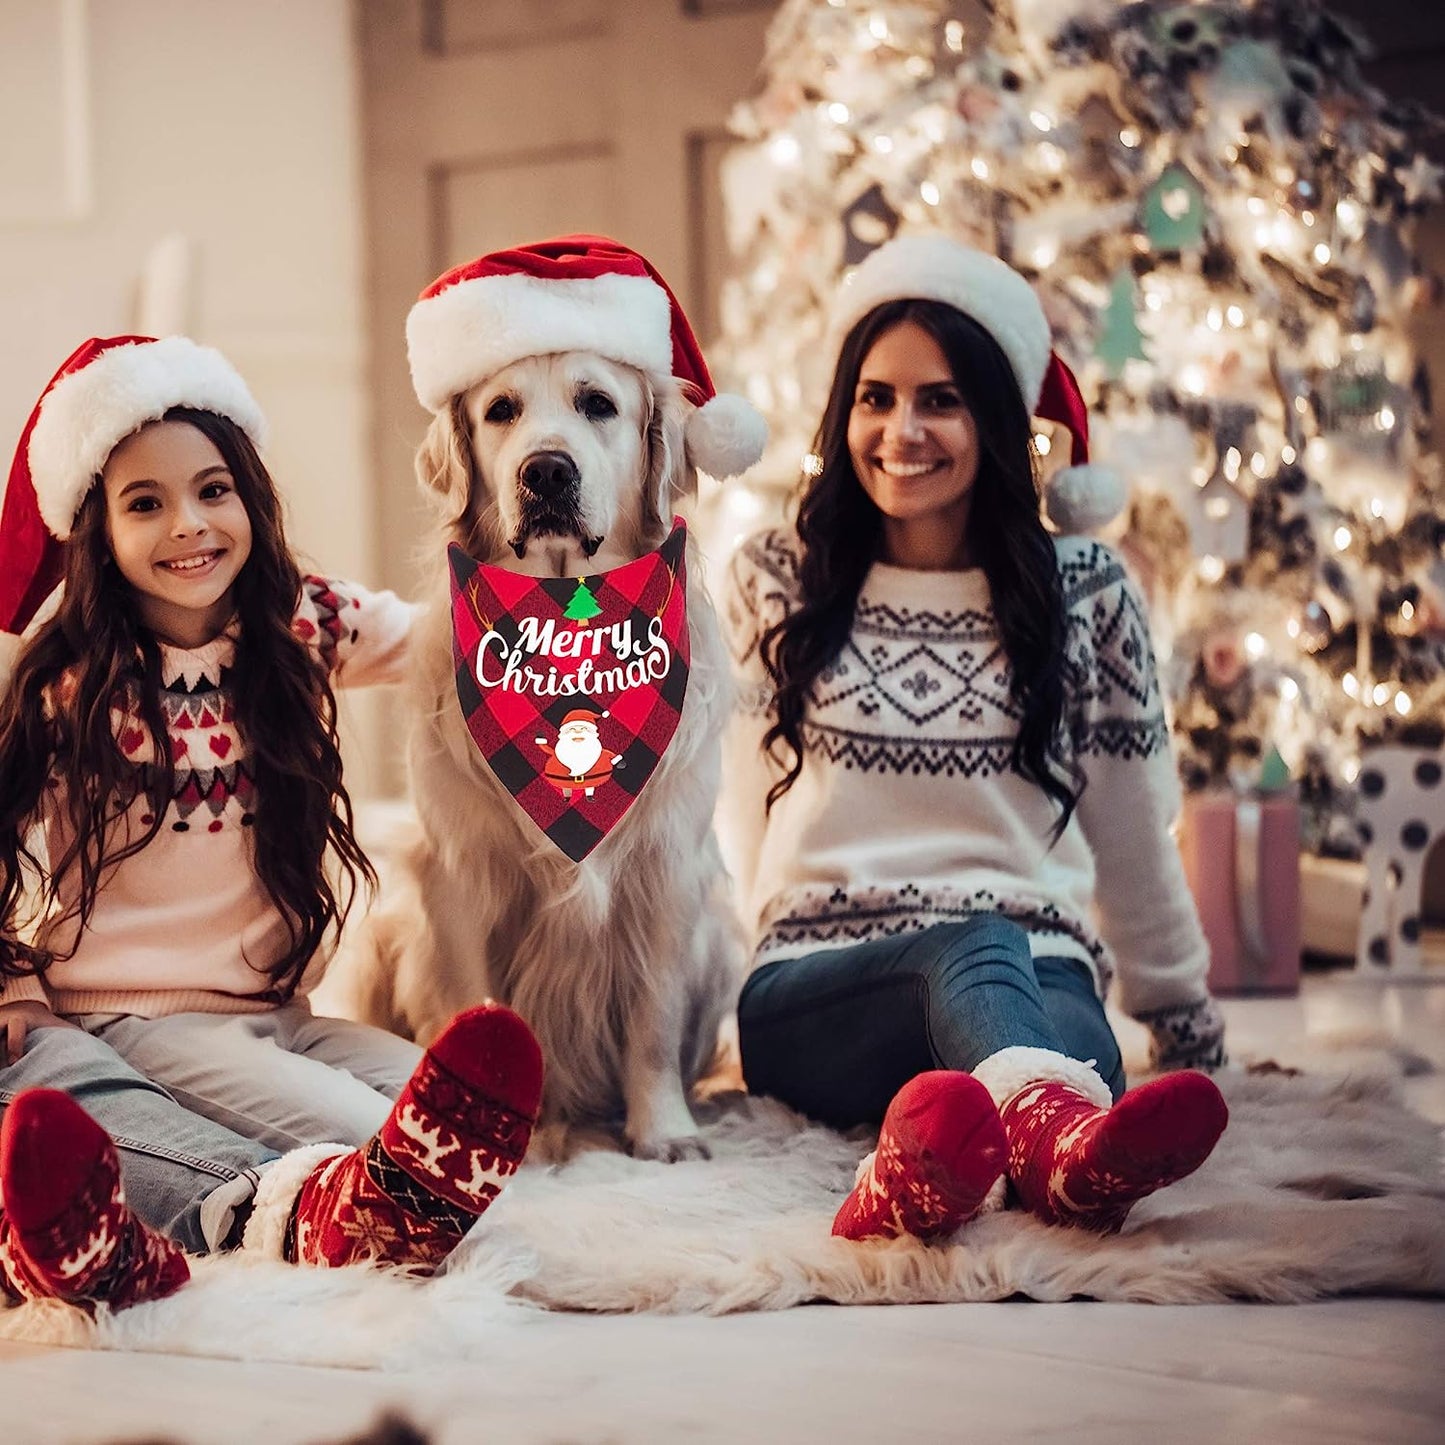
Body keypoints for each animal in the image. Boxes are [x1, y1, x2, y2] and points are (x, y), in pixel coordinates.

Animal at [355, 343, 745, 1156]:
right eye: (500, 409)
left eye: (598, 403)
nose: (547, 473)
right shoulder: (461, 875)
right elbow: (478, 1011)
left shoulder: (666, 871)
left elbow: (654, 1022)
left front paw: (662, 1130)